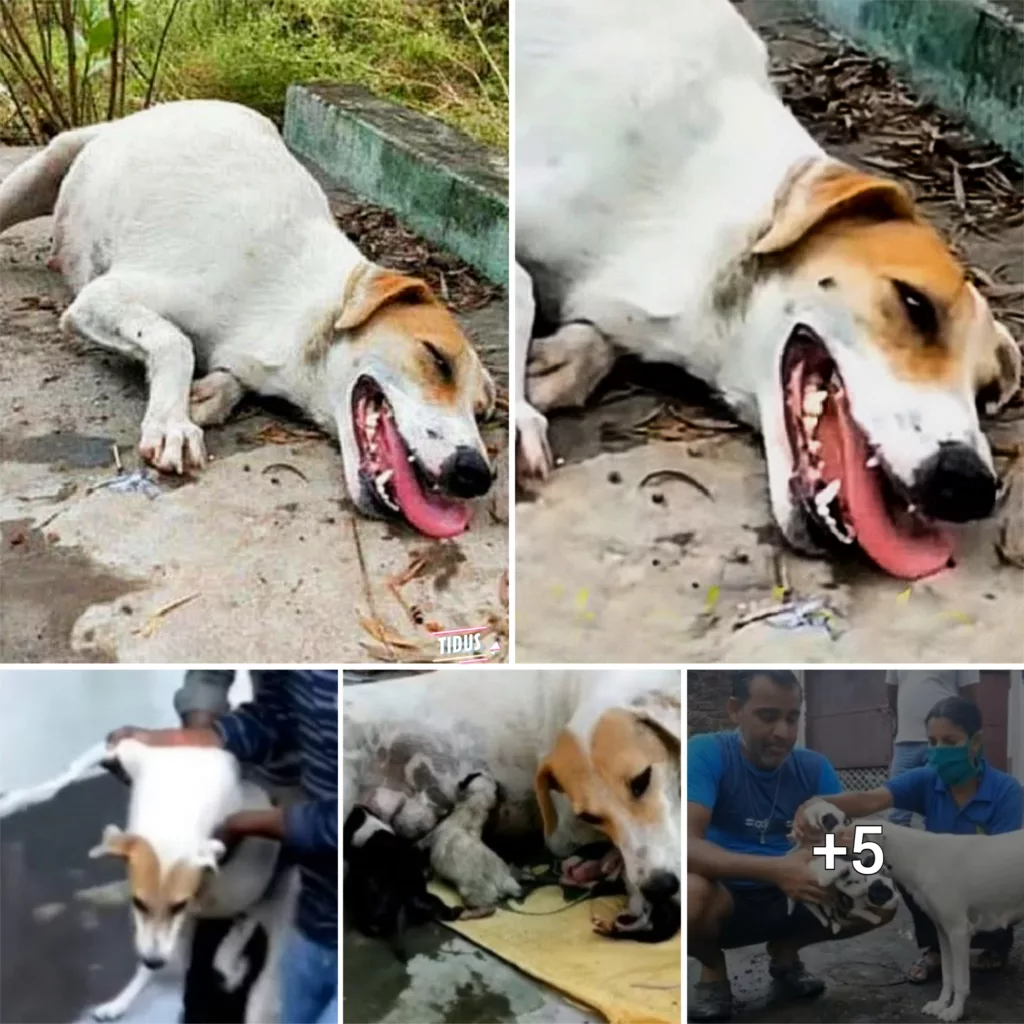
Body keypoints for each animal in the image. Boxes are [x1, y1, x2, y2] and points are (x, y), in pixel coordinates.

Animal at [0, 99, 495, 540]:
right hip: (44, 165)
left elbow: (224, 377)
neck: (304, 305)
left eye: (480, 411)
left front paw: (206, 394)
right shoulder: (99, 298)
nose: (477, 474)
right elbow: (174, 342)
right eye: (437, 360)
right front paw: (171, 421)